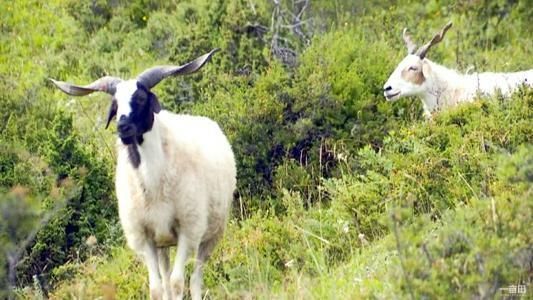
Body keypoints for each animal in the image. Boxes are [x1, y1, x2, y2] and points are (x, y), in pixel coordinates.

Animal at [49, 49, 235, 300]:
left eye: (140, 98)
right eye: (115, 105)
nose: (123, 128)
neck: (152, 179)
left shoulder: (187, 230)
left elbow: (178, 283)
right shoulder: (145, 237)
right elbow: (157, 288)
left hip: (209, 233)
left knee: (195, 277)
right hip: (163, 242)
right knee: (166, 278)